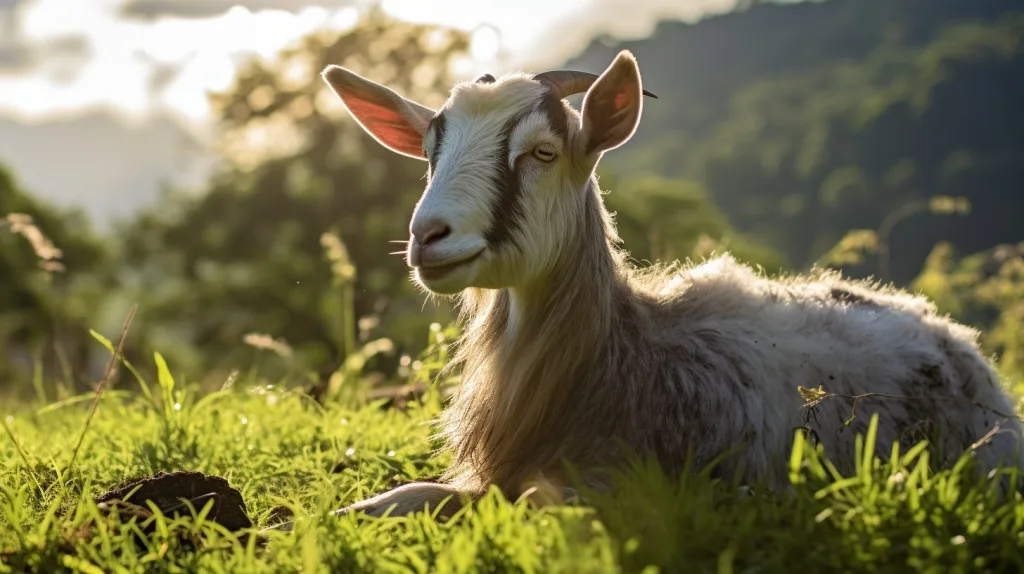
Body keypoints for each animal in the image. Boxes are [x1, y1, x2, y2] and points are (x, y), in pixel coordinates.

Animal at [318, 50, 1024, 518]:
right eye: (429, 152)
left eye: (543, 152)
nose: (428, 236)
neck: (626, 351)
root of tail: (957, 339)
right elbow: (408, 495)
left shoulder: (627, 482)